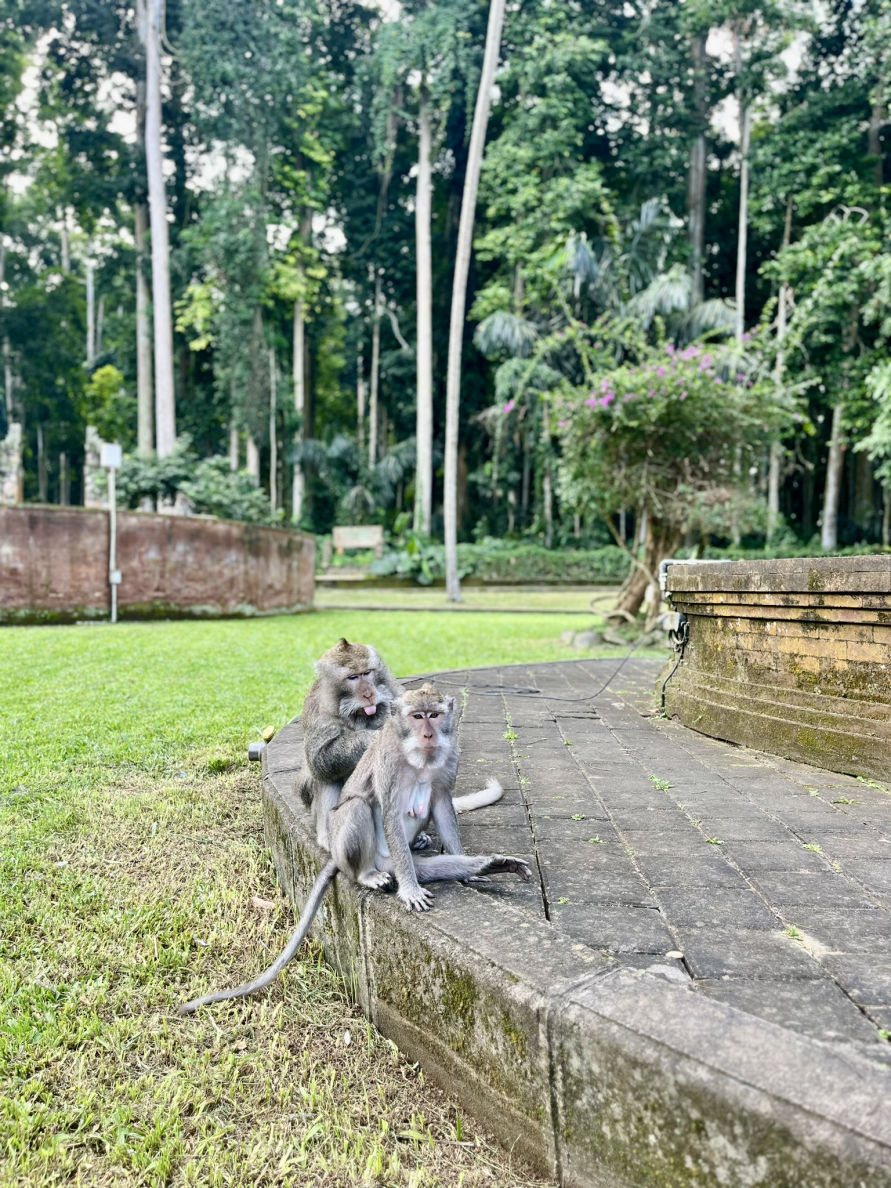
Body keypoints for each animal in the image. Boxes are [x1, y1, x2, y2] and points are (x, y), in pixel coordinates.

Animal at [179, 683, 529, 1014]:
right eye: (417, 716)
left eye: (434, 715)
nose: (428, 734)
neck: (420, 759)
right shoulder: (388, 763)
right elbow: (389, 812)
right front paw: (411, 890)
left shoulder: (448, 760)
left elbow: (441, 804)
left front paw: (472, 873)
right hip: (357, 848)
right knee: (359, 807)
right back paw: (368, 875)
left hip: (400, 861)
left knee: (425, 864)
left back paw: (485, 865)